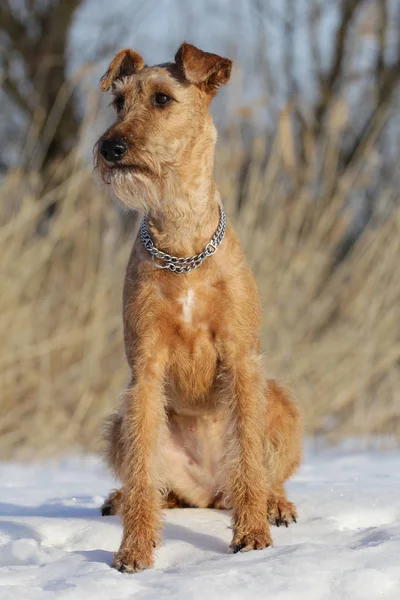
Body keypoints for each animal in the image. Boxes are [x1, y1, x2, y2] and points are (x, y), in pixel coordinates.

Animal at [95, 41, 302, 572]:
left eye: (163, 99)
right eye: (118, 103)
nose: (110, 148)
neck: (183, 242)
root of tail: (211, 492)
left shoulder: (242, 358)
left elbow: (248, 450)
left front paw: (252, 535)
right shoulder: (145, 369)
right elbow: (142, 472)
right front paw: (133, 549)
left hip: (280, 402)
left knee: (264, 474)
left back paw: (274, 505)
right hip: (118, 423)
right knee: (154, 485)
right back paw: (122, 501)